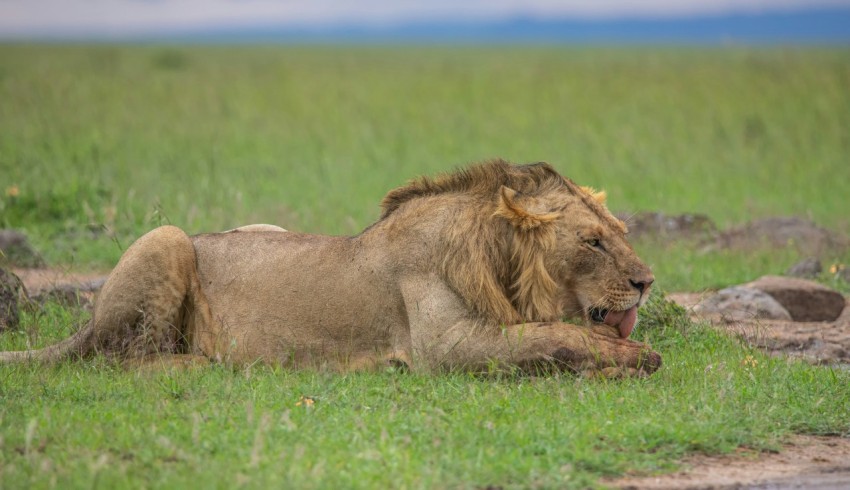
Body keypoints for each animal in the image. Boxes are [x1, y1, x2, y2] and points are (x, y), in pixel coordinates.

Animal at [0, 160, 660, 376]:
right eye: (593, 241)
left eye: (622, 234)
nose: (647, 283)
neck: (500, 262)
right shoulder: (443, 349)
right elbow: (548, 335)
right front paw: (626, 356)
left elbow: (552, 331)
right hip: (165, 240)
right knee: (127, 358)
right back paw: (211, 361)